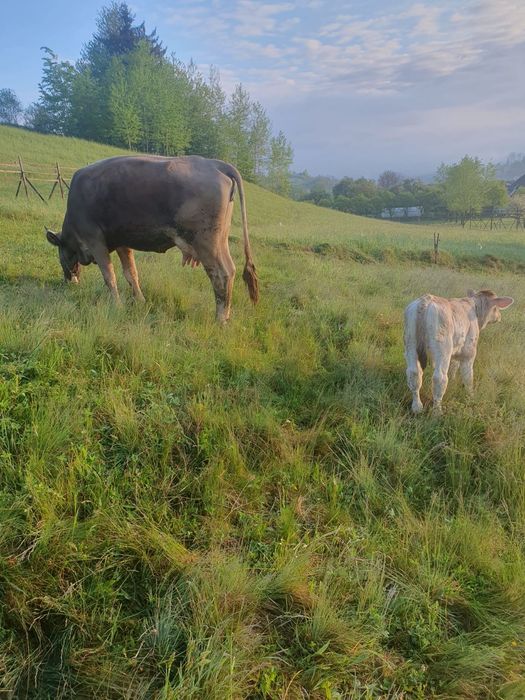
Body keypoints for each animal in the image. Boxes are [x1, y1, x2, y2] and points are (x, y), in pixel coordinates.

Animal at [45, 155, 258, 322]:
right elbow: (131, 273)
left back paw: (220, 318)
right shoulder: (122, 242)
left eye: (59, 255)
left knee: (221, 274)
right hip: (220, 241)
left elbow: (109, 275)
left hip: (207, 243)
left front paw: (117, 305)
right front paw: (140, 300)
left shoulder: (95, 240)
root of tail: (214, 163)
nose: (68, 281)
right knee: (230, 270)